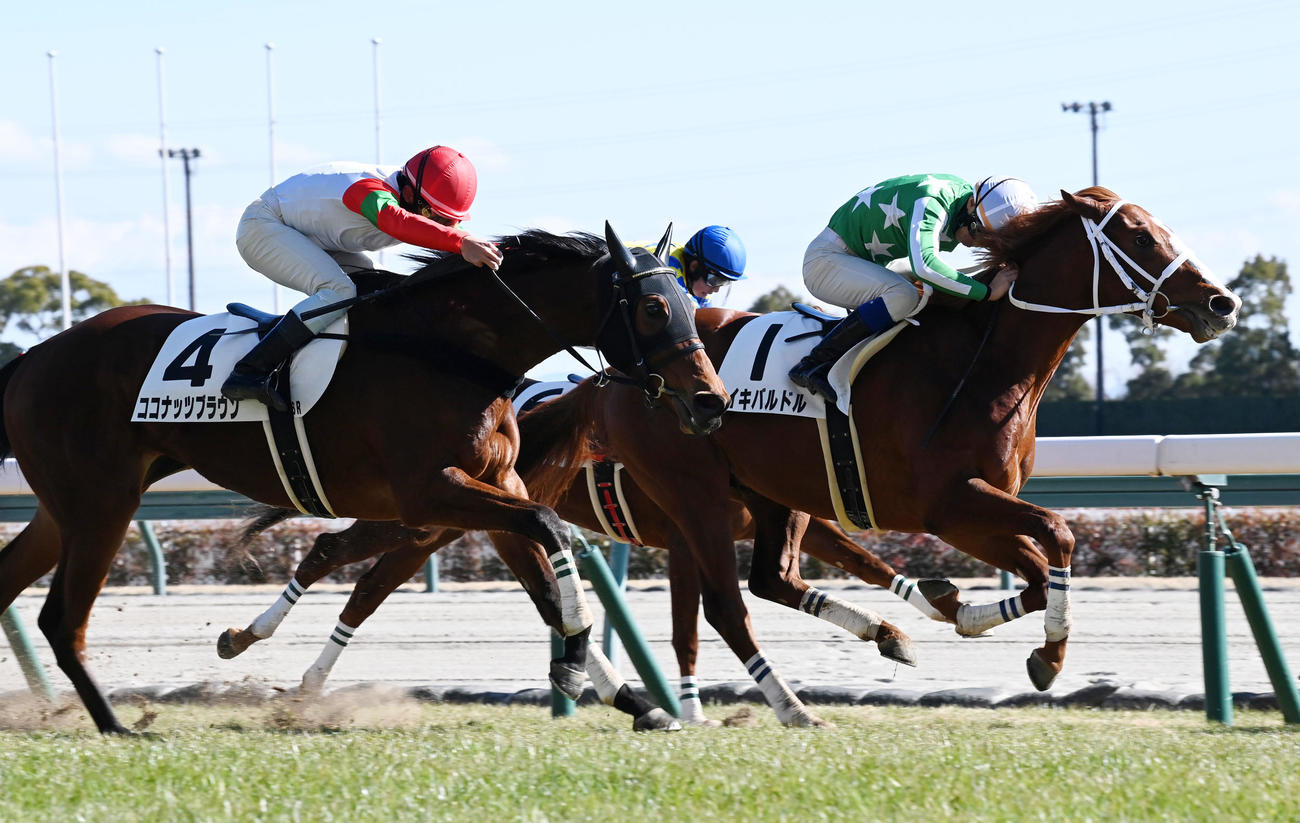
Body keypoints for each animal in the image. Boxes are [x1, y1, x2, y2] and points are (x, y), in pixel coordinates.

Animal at [0, 224, 729, 734]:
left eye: (688, 301)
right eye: (654, 308)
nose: (710, 401)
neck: (452, 349)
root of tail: (34, 356)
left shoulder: (496, 488)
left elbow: (546, 582)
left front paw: (628, 697)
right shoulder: (432, 491)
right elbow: (550, 535)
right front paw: (581, 665)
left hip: (65, 508)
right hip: (103, 503)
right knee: (62, 617)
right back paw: (117, 725)